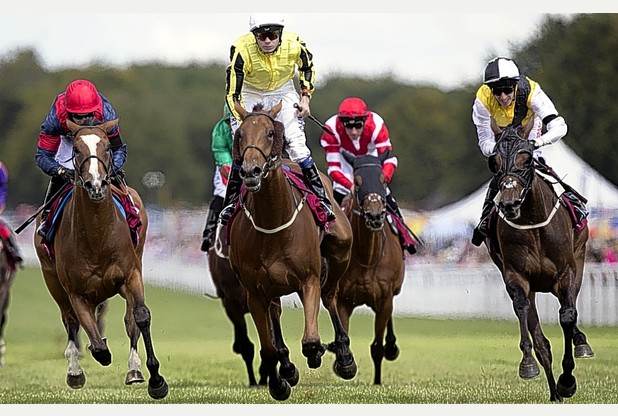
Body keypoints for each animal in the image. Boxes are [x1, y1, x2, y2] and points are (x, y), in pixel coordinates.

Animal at [33, 118, 168, 400]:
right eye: (76, 150)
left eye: (106, 147)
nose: (96, 184)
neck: (97, 237)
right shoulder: (75, 292)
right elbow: (95, 342)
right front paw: (90, 356)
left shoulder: (131, 276)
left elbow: (139, 317)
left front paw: (156, 380)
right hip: (51, 279)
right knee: (70, 320)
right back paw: (74, 369)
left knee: (128, 320)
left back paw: (134, 369)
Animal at [225, 101, 356, 400]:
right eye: (240, 136)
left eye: (270, 133)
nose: (250, 172)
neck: (273, 223)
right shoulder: (254, 292)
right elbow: (269, 347)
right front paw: (280, 381)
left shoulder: (309, 279)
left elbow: (311, 340)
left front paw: (319, 353)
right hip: (270, 290)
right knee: (275, 319)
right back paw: (287, 367)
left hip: (339, 251)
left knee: (330, 297)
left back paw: (344, 356)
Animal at [332, 149, 404, 384]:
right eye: (357, 181)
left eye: (383, 180)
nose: (374, 215)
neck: (367, 257)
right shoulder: (343, 300)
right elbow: (343, 332)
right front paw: (343, 364)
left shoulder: (384, 299)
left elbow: (377, 347)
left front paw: (377, 381)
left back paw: (391, 346)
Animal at [486, 124, 592, 404]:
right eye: (494, 162)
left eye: (526, 158)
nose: (509, 203)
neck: (533, 226)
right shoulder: (516, 276)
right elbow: (525, 312)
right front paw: (528, 365)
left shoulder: (566, 273)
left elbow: (568, 315)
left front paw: (567, 380)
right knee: (539, 334)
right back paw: (554, 392)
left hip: (580, 257)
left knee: (572, 309)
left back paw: (581, 343)